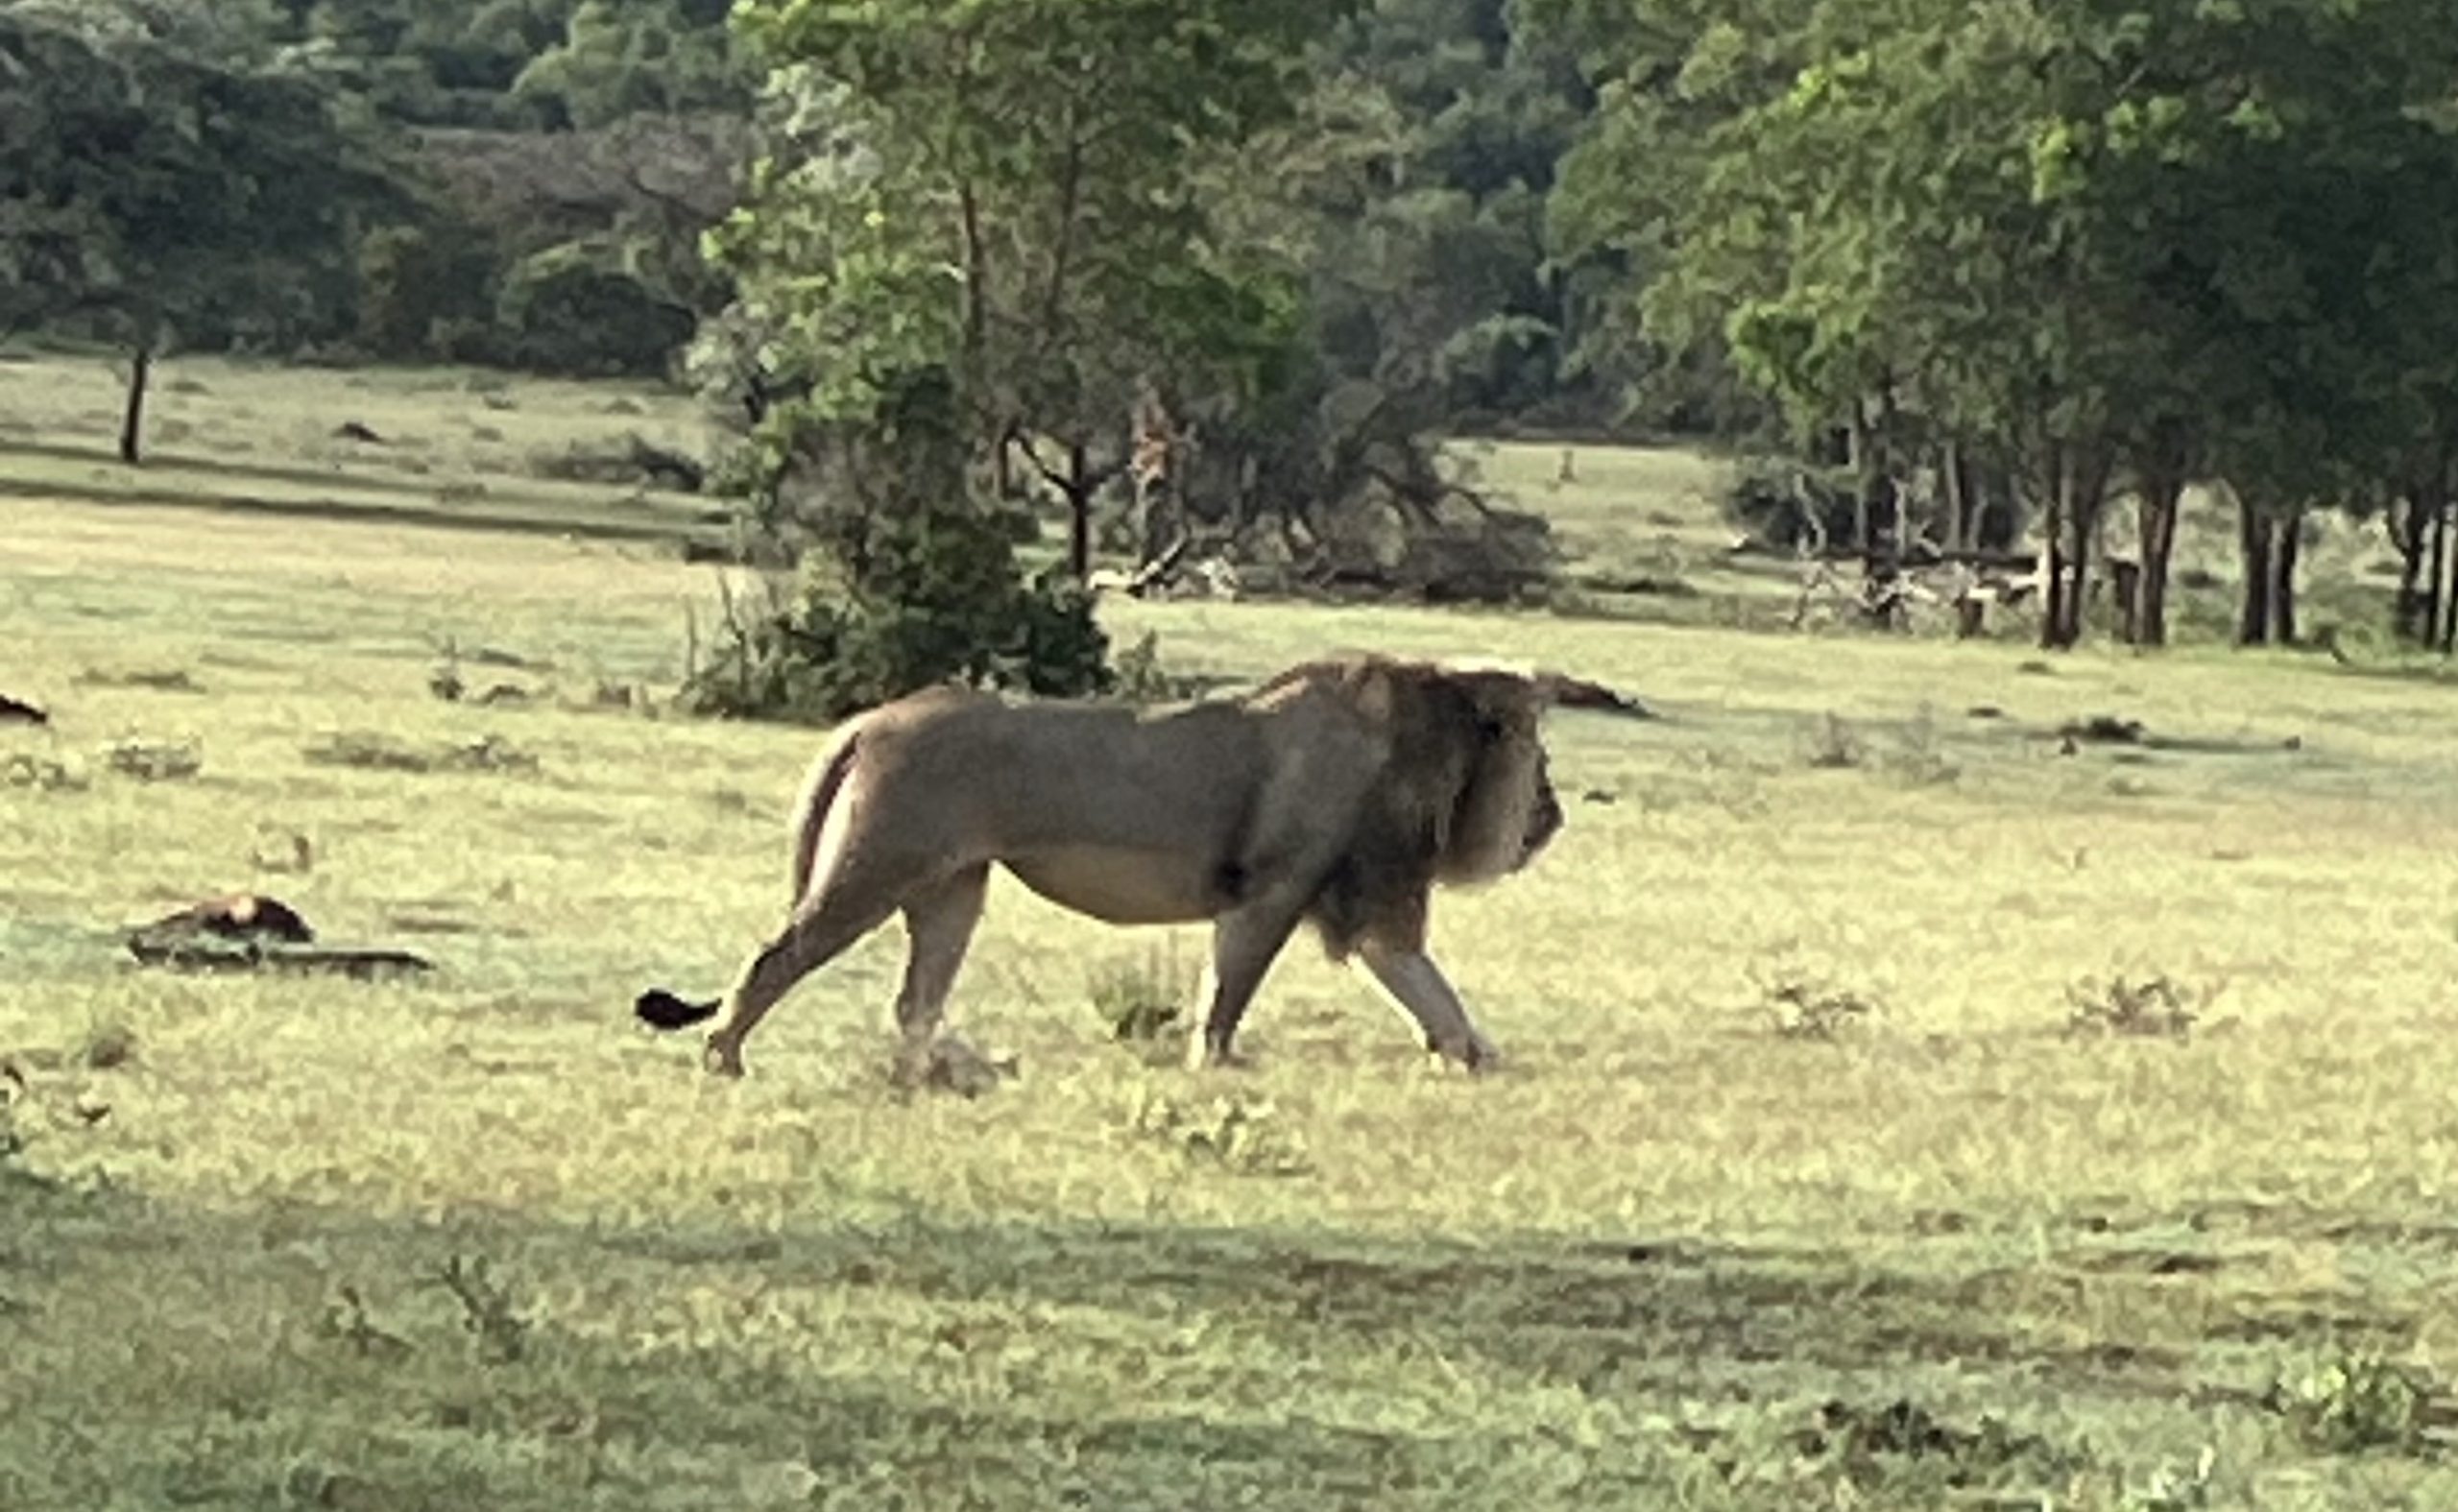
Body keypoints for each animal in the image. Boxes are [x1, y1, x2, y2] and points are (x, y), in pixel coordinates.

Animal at [634, 653, 1574, 1079]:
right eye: (1539, 762)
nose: (1554, 817)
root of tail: (867, 721)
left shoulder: (1370, 904)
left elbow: (1430, 988)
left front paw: (1476, 1057)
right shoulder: (1274, 888)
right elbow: (1229, 989)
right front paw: (1214, 1066)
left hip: (952, 888)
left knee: (914, 999)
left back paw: (934, 1075)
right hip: (872, 870)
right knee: (773, 958)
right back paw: (723, 1058)